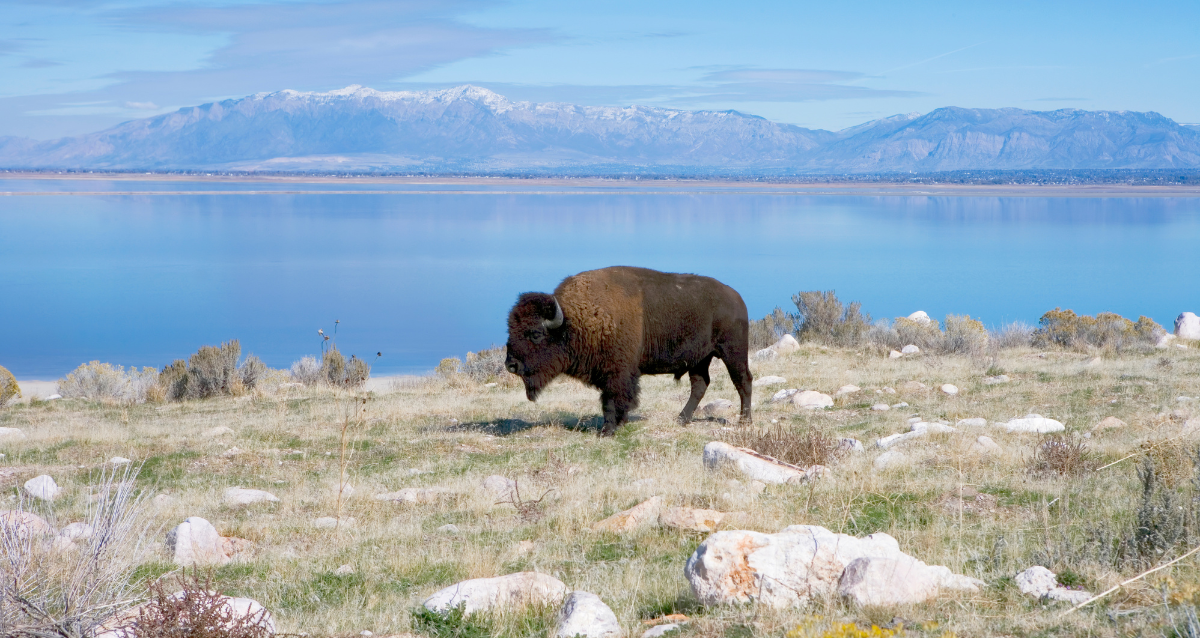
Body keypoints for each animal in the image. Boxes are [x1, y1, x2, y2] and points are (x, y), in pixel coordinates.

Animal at [504, 266, 748, 436]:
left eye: (536, 334)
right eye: (510, 329)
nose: (510, 364)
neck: (574, 320)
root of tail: (737, 298)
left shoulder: (617, 373)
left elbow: (612, 400)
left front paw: (608, 431)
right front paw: (617, 425)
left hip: (732, 352)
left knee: (743, 381)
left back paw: (744, 421)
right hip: (699, 360)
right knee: (700, 385)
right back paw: (681, 419)